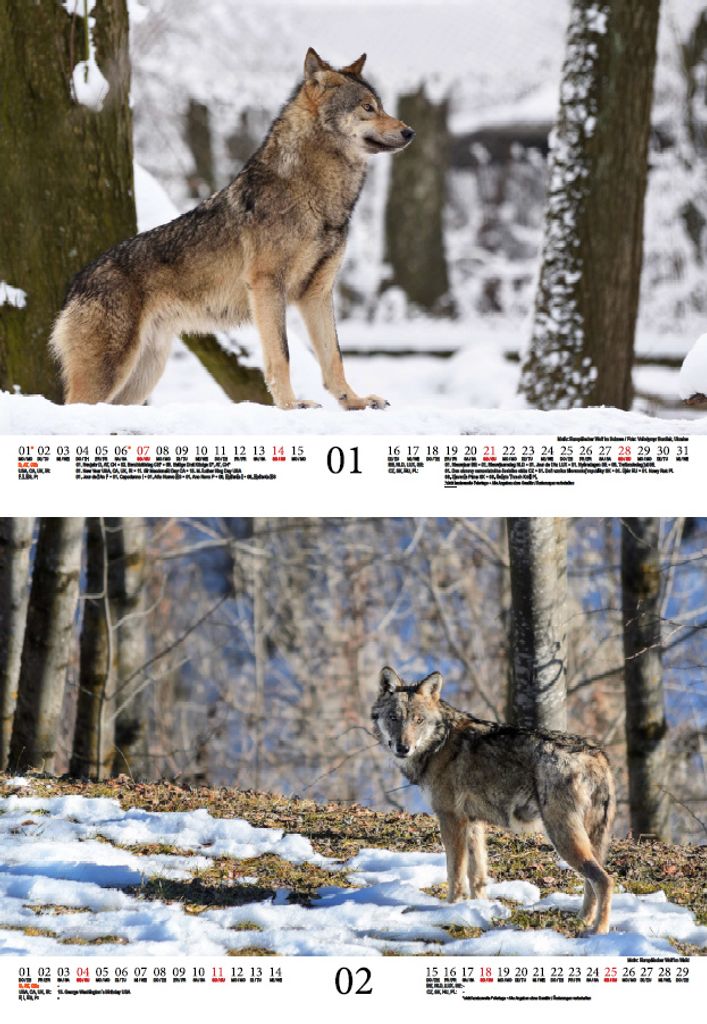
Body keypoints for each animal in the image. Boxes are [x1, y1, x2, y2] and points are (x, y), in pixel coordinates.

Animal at [50, 49, 414, 410]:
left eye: (380, 106)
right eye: (367, 107)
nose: (409, 132)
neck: (319, 198)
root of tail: (76, 283)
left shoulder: (318, 292)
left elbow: (334, 357)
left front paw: (354, 401)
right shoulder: (267, 286)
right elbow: (280, 356)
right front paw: (291, 406)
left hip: (141, 377)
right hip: (110, 375)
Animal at [371, 666, 616, 934]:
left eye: (418, 720)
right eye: (394, 718)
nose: (403, 747)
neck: (439, 744)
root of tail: (597, 755)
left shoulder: (451, 819)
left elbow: (455, 874)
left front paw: (451, 909)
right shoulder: (473, 823)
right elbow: (476, 876)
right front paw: (478, 909)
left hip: (562, 837)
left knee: (605, 880)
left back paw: (598, 931)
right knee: (592, 881)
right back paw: (582, 920)